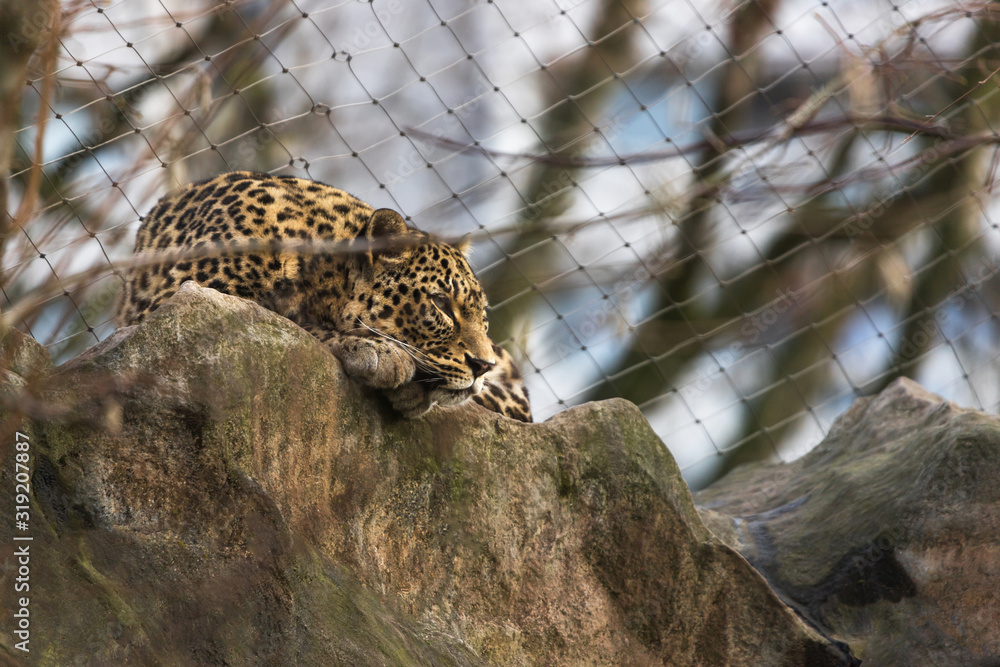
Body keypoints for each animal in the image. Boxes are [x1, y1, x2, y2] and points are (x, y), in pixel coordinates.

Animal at [116, 171, 531, 422]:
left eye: (482, 314)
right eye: (441, 304)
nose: (483, 365)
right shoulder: (179, 297)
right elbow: (289, 322)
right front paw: (379, 353)